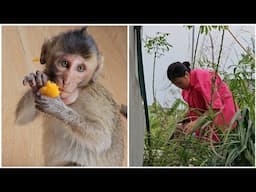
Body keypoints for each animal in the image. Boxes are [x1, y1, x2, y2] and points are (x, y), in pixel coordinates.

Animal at [15, 27, 125, 166]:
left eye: (80, 68)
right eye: (64, 63)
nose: (66, 81)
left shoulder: (94, 100)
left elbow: (102, 138)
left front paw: (59, 109)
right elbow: (22, 118)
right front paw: (38, 80)